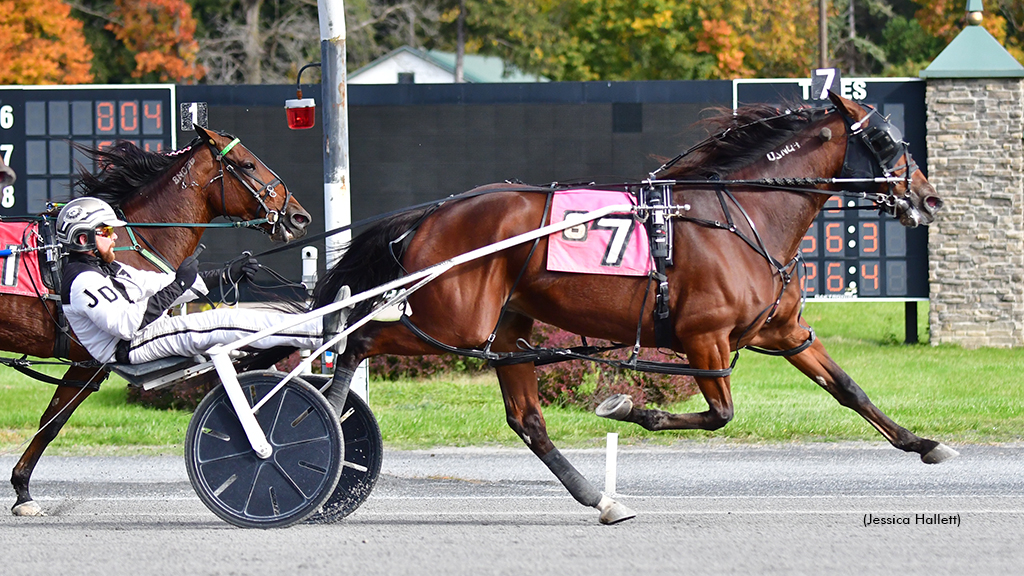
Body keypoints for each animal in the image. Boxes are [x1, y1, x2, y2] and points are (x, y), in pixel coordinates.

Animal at [313, 91, 950, 522]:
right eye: (887, 141)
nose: (928, 198)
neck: (744, 215)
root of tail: (431, 213)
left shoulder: (784, 331)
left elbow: (848, 389)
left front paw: (924, 443)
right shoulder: (704, 338)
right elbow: (720, 414)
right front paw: (627, 408)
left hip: (505, 330)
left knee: (528, 421)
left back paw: (599, 498)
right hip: (455, 321)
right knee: (358, 340)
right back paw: (329, 419)